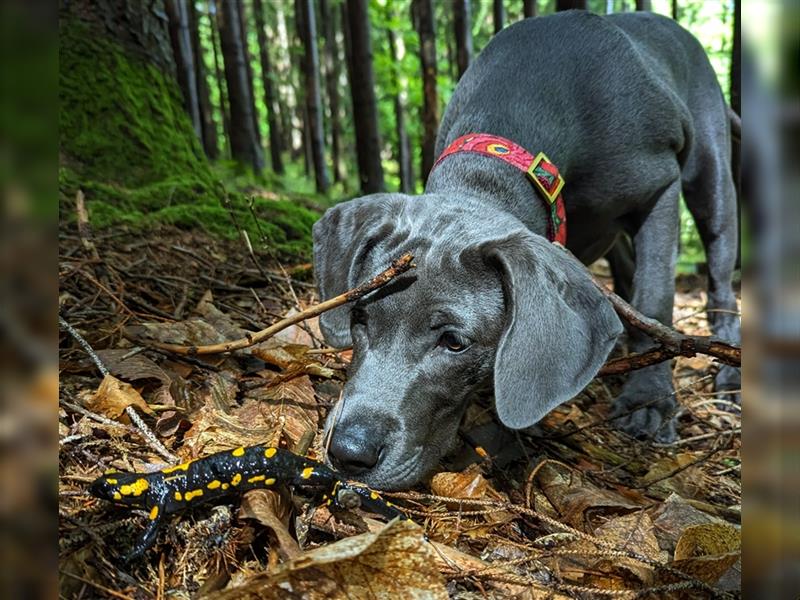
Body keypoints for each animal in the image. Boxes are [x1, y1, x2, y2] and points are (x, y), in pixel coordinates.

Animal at [310, 9, 736, 490]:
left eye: (454, 342)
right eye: (360, 318)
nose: (349, 453)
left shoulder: (659, 185)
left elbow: (655, 296)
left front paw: (648, 400)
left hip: (710, 175)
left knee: (720, 276)